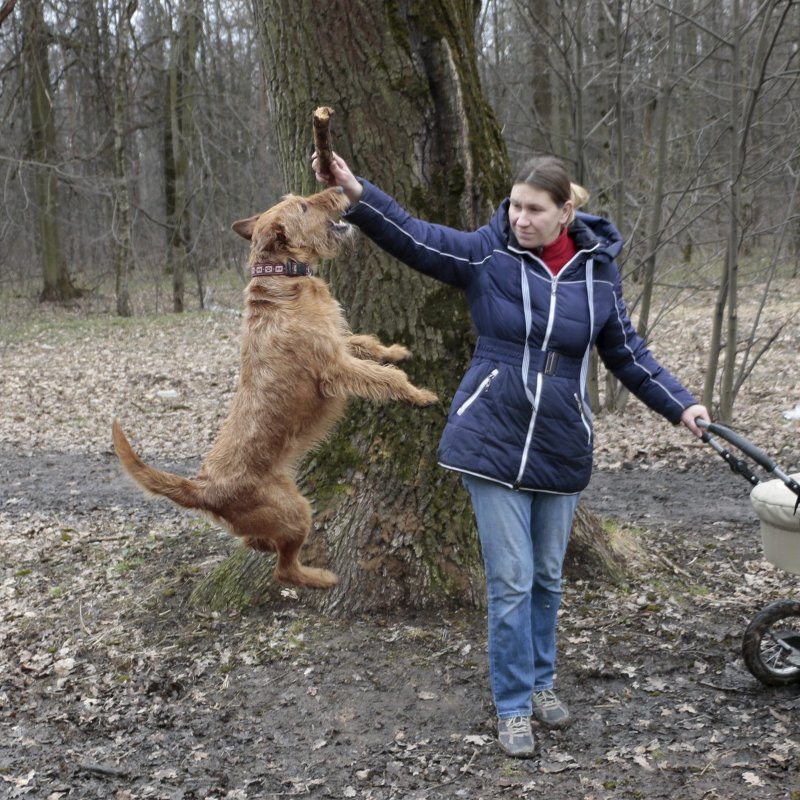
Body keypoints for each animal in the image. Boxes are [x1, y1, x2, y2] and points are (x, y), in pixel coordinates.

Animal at [112, 188, 438, 588]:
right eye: (304, 206)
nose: (340, 189)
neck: (284, 278)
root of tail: (204, 489)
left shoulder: (338, 343)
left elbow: (365, 342)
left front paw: (395, 350)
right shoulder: (334, 365)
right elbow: (386, 377)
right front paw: (419, 395)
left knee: (255, 543)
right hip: (296, 511)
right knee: (285, 570)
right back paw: (321, 578)